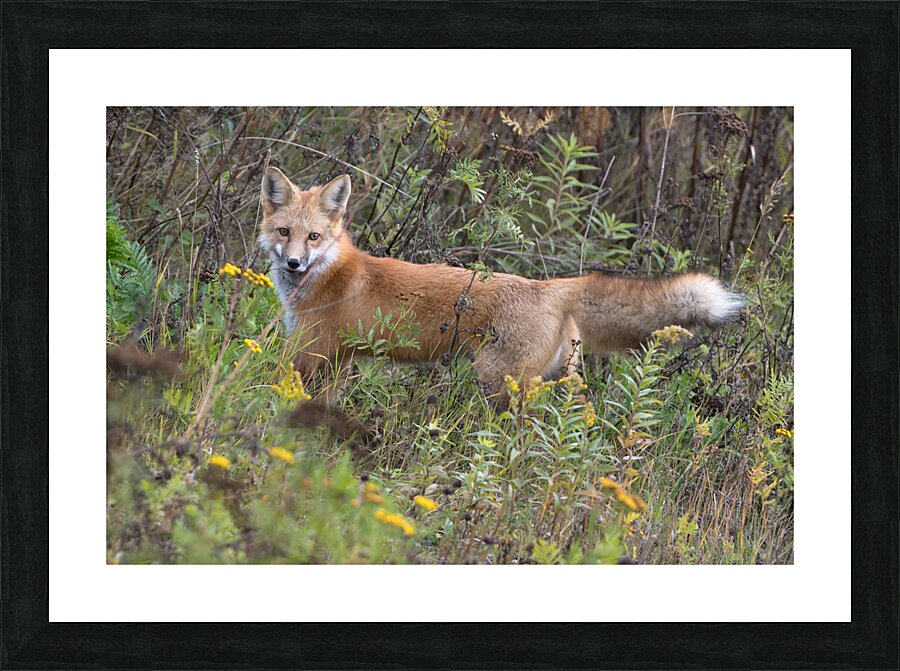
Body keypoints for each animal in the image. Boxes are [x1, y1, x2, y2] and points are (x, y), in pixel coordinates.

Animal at [258, 167, 745, 402]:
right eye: (284, 232)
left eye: (313, 237)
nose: (296, 262)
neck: (327, 273)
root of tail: (549, 286)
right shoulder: (338, 361)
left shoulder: (308, 352)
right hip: (559, 379)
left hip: (497, 382)